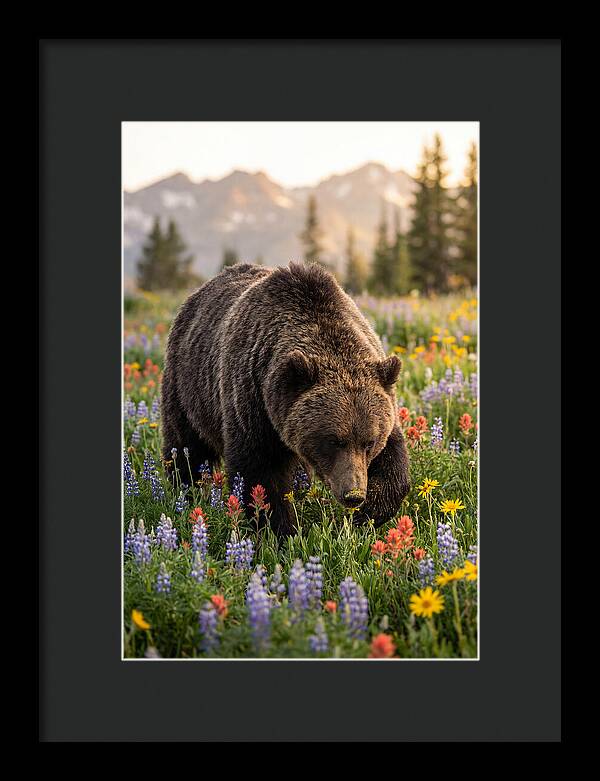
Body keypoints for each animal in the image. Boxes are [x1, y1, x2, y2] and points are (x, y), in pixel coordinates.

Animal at [161, 262, 410, 535]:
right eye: (334, 441)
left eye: (369, 442)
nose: (353, 494)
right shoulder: (253, 401)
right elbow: (260, 473)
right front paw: (280, 531)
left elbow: (394, 462)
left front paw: (369, 514)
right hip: (188, 388)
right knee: (186, 446)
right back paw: (184, 492)